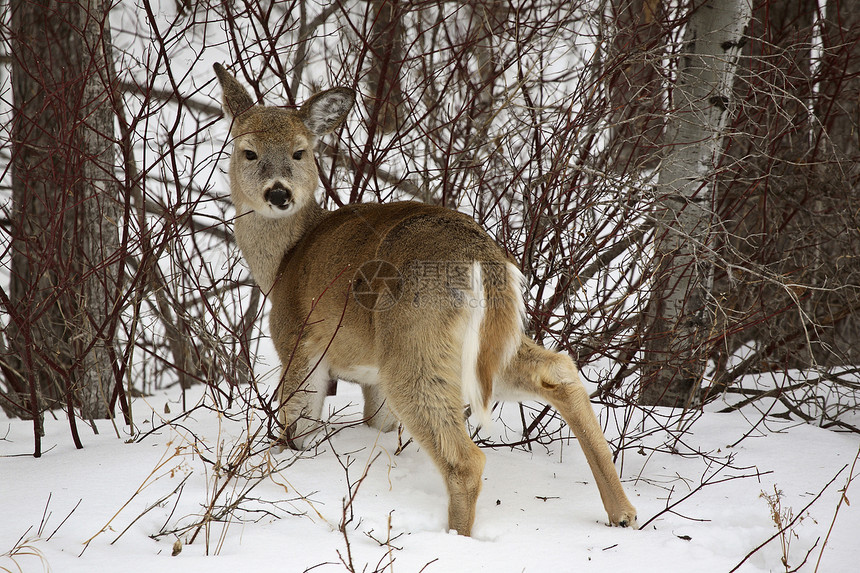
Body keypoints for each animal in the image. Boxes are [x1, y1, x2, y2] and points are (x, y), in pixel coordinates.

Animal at [212, 65, 636, 540]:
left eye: (300, 152)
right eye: (249, 152)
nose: (279, 193)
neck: (285, 260)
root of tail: (483, 259)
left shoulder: (299, 343)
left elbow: (298, 426)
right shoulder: (371, 379)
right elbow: (377, 424)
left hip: (412, 343)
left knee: (466, 460)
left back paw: (456, 537)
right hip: (487, 343)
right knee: (559, 369)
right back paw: (623, 512)